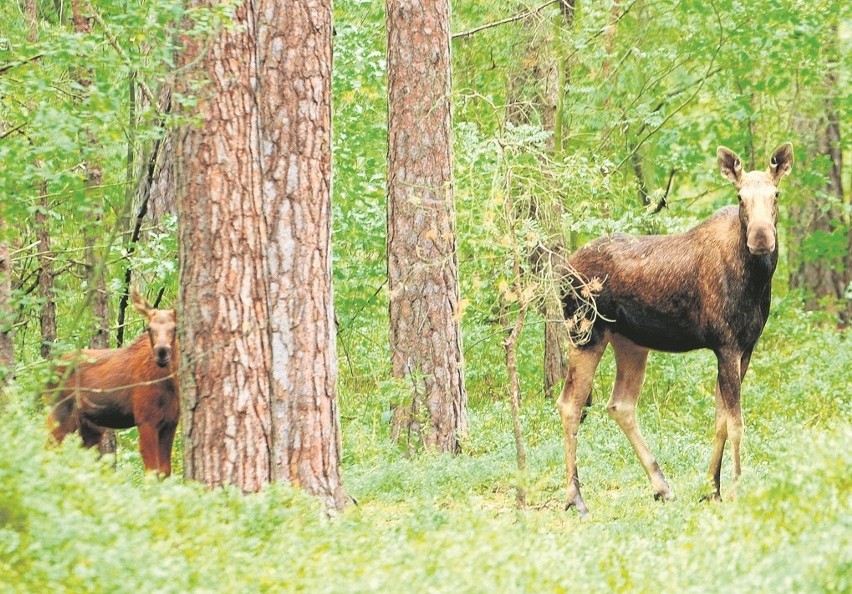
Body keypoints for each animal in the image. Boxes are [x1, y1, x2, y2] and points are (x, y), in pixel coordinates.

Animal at [47, 290, 179, 474]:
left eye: (175, 328)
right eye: (149, 328)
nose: (161, 351)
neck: (169, 385)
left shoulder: (171, 422)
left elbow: (165, 471)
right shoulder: (145, 420)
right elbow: (152, 470)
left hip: (90, 428)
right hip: (60, 413)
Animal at [560, 142, 792, 512]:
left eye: (776, 194)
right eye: (740, 197)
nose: (761, 238)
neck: (756, 282)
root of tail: (561, 269)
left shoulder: (746, 347)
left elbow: (721, 420)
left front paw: (712, 488)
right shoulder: (726, 344)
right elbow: (736, 422)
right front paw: (737, 489)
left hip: (630, 342)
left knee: (620, 404)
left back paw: (662, 486)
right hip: (585, 333)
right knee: (570, 404)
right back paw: (576, 498)